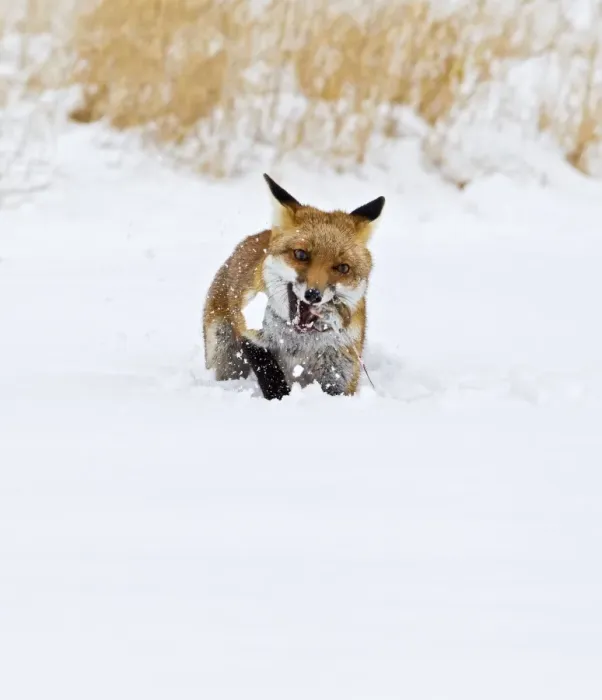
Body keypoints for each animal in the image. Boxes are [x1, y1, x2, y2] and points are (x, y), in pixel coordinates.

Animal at [203, 174, 385, 400]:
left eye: (343, 268)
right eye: (301, 254)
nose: (313, 294)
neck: (299, 342)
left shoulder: (341, 366)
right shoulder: (251, 333)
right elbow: (271, 375)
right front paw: (281, 398)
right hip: (225, 355)